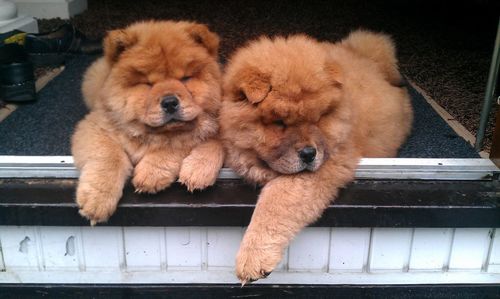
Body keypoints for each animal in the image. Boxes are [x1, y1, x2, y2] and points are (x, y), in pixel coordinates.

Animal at [71, 21, 224, 225]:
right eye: (147, 84)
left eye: (185, 78)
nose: (170, 102)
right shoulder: (94, 127)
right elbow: (109, 156)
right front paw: (97, 199)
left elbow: (175, 145)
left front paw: (151, 173)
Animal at [221, 29, 412, 284]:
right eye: (279, 122)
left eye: (318, 118)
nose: (309, 154)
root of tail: (370, 60)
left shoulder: (322, 168)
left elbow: (274, 203)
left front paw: (252, 258)